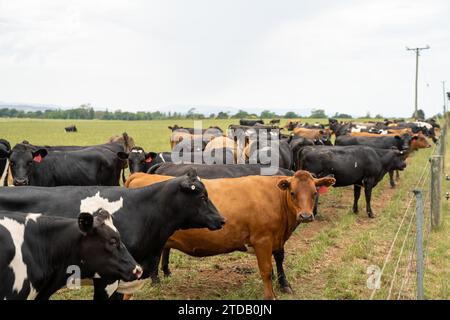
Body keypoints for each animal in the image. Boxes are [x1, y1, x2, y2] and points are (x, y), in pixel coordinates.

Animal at [125, 171, 336, 298]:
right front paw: (270, 295)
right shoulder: (262, 240)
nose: (306, 216)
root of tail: (141, 174)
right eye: (293, 193)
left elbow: (279, 259)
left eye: (315, 193)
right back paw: (155, 281)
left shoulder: (277, 239)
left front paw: (284, 284)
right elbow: (266, 270)